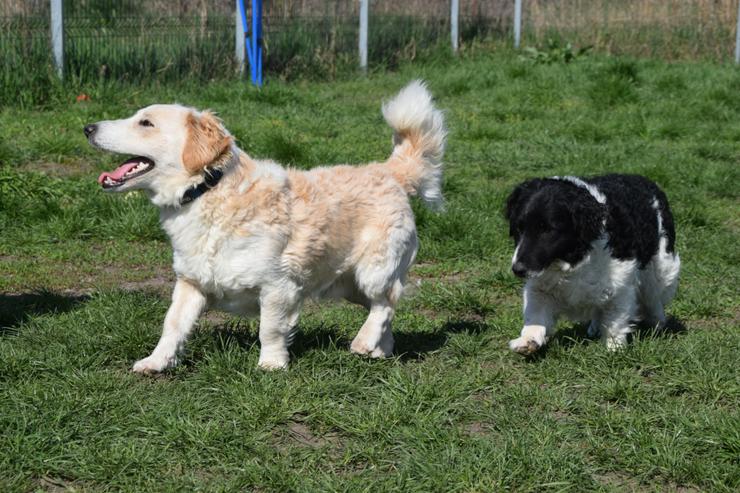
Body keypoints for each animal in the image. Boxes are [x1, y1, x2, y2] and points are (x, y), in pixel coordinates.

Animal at [85, 81, 446, 372]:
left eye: (145, 122)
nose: (88, 127)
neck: (208, 191)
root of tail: (388, 171)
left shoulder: (277, 286)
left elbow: (269, 329)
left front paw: (271, 364)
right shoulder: (191, 283)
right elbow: (171, 326)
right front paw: (156, 362)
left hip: (374, 270)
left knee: (388, 299)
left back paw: (363, 341)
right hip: (349, 285)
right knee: (386, 310)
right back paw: (379, 349)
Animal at [506, 175, 680, 352]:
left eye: (548, 230)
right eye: (519, 228)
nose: (517, 270)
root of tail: (643, 180)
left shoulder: (620, 282)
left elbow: (615, 317)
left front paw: (614, 347)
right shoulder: (540, 285)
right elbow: (535, 314)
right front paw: (528, 339)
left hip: (662, 267)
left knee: (654, 296)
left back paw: (657, 322)